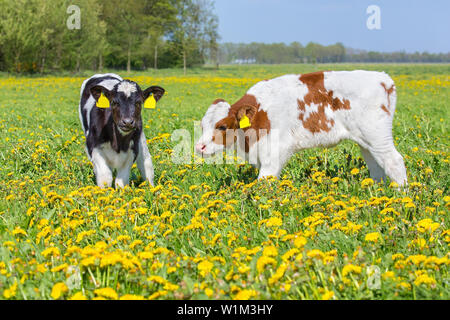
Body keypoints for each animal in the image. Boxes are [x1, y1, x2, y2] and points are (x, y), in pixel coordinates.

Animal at [196, 70, 408, 185]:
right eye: (202, 125)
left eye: (222, 126)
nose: (199, 147)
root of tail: (383, 78)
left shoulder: (274, 152)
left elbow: (265, 182)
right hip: (366, 141)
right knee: (377, 166)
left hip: (378, 136)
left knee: (394, 162)